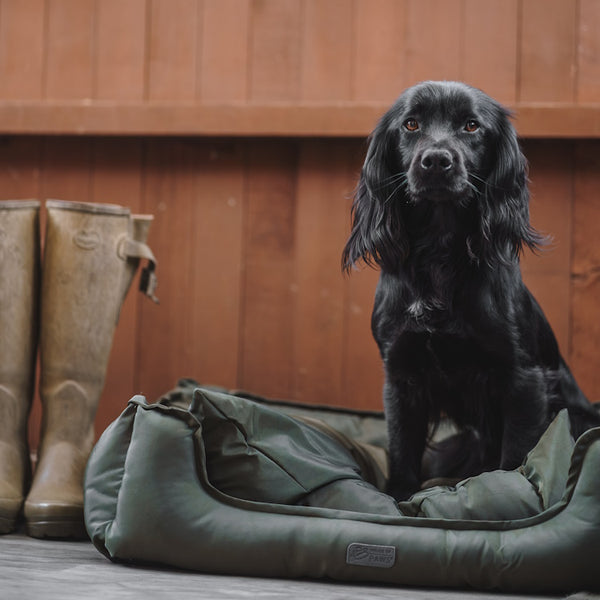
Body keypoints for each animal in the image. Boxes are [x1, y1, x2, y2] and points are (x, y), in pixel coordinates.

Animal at [342, 81, 600, 502]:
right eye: (411, 124)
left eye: (471, 126)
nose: (435, 161)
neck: (440, 255)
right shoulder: (400, 378)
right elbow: (402, 451)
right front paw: (398, 500)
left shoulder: (525, 380)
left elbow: (514, 457)